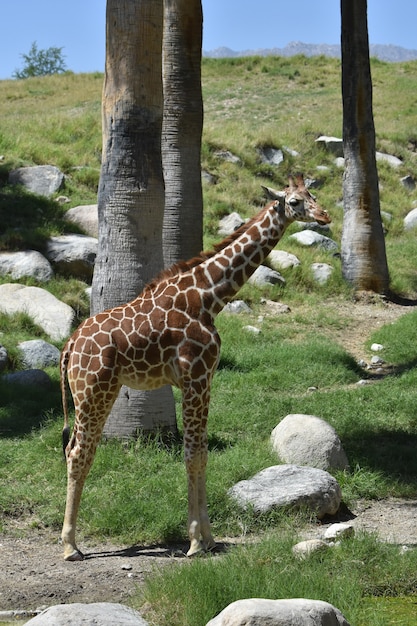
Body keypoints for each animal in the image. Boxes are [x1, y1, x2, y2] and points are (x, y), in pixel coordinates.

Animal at [60, 173, 330, 560]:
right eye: (294, 202)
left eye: (313, 194)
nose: (324, 217)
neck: (209, 296)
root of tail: (69, 346)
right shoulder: (195, 375)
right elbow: (191, 455)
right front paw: (195, 541)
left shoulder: (205, 378)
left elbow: (201, 453)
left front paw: (209, 537)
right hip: (94, 389)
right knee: (79, 452)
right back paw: (70, 546)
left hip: (94, 392)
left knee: (75, 449)